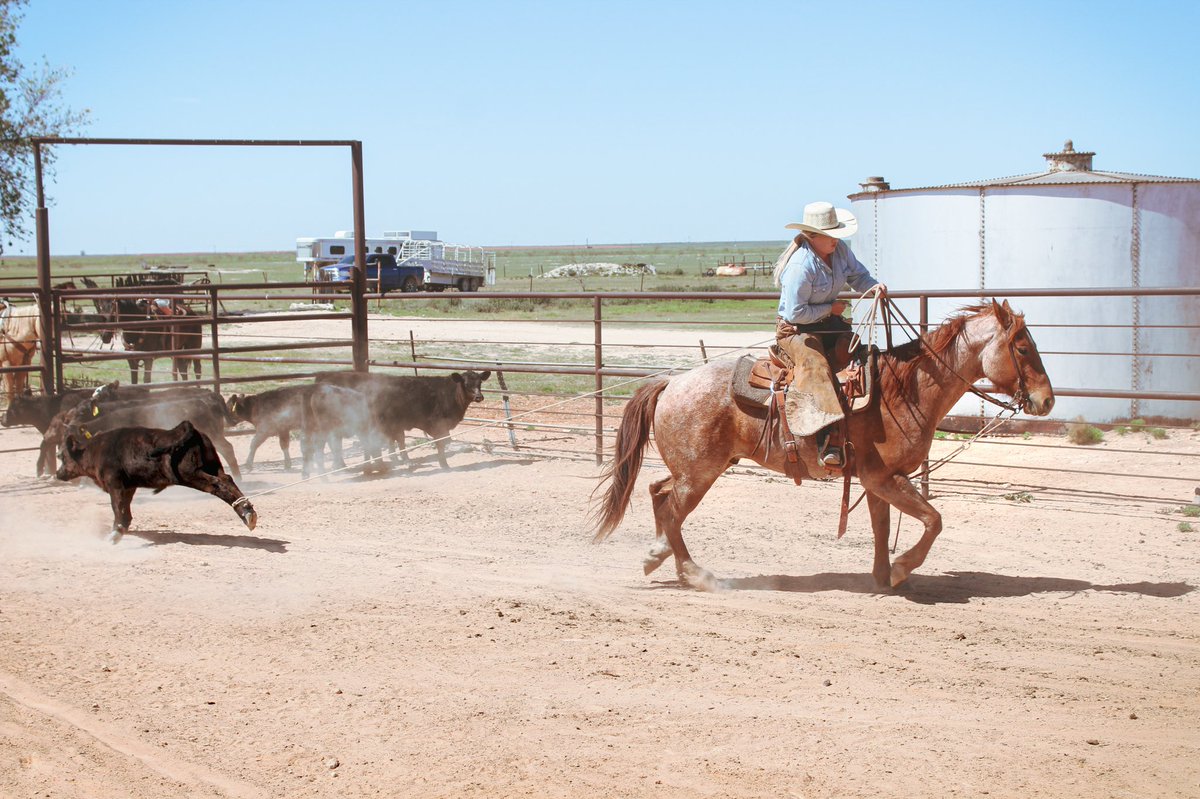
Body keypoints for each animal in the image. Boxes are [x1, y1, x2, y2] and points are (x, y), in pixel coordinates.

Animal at [55, 417, 256, 542]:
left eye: (62, 456)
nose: (58, 474)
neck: (95, 450)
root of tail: (184, 429)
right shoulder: (129, 486)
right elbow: (125, 508)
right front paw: (123, 527)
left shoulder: (115, 484)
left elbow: (117, 507)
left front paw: (115, 533)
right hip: (212, 465)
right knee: (227, 479)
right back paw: (247, 512)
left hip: (191, 474)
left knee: (217, 484)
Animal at [316, 367, 494, 467]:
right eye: (465, 383)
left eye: (479, 382)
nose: (479, 397)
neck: (449, 393)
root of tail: (325, 376)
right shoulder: (437, 425)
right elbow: (439, 445)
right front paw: (444, 465)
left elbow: (397, 442)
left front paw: (399, 459)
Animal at [595, 302, 1056, 587]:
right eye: (1021, 346)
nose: (1047, 400)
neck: (905, 389)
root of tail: (671, 382)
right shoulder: (884, 477)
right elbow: (933, 520)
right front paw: (903, 569)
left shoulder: (877, 481)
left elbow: (882, 526)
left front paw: (883, 577)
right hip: (699, 473)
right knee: (673, 510)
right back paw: (695, 574)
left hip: (699, 468)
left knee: (659, 494)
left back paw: (658, 557)